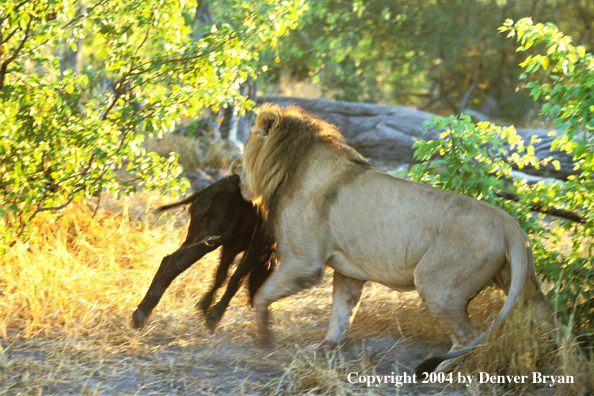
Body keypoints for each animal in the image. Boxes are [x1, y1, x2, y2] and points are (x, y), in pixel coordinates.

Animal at [238, 103, 552, 372]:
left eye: (245, 144)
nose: (236, 174)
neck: (294, 165)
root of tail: (509, 225)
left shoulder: (303, 261)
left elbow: (262, 295)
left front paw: (264, 337)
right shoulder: (348, 272)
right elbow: (340, 314)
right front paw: (323, 348)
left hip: (437, 286)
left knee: (469, 336)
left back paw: (439, 371)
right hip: (522, 285)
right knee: (548, 322)